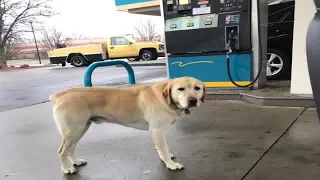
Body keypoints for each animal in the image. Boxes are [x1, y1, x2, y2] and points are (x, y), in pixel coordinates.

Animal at [49, 76, 206, 174]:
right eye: (180, 89)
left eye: (197, 88)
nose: (192, 100)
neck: (164, 97)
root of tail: (61, 95)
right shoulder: (158, 130)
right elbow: (164, 148)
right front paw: (171, 165)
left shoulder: (157, 131)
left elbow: (161, 149)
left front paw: (164, 158)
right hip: (73, 131)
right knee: (61, 151)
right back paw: (67, 169)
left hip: (80, 129)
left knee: (71, 149)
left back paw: (75, 162)